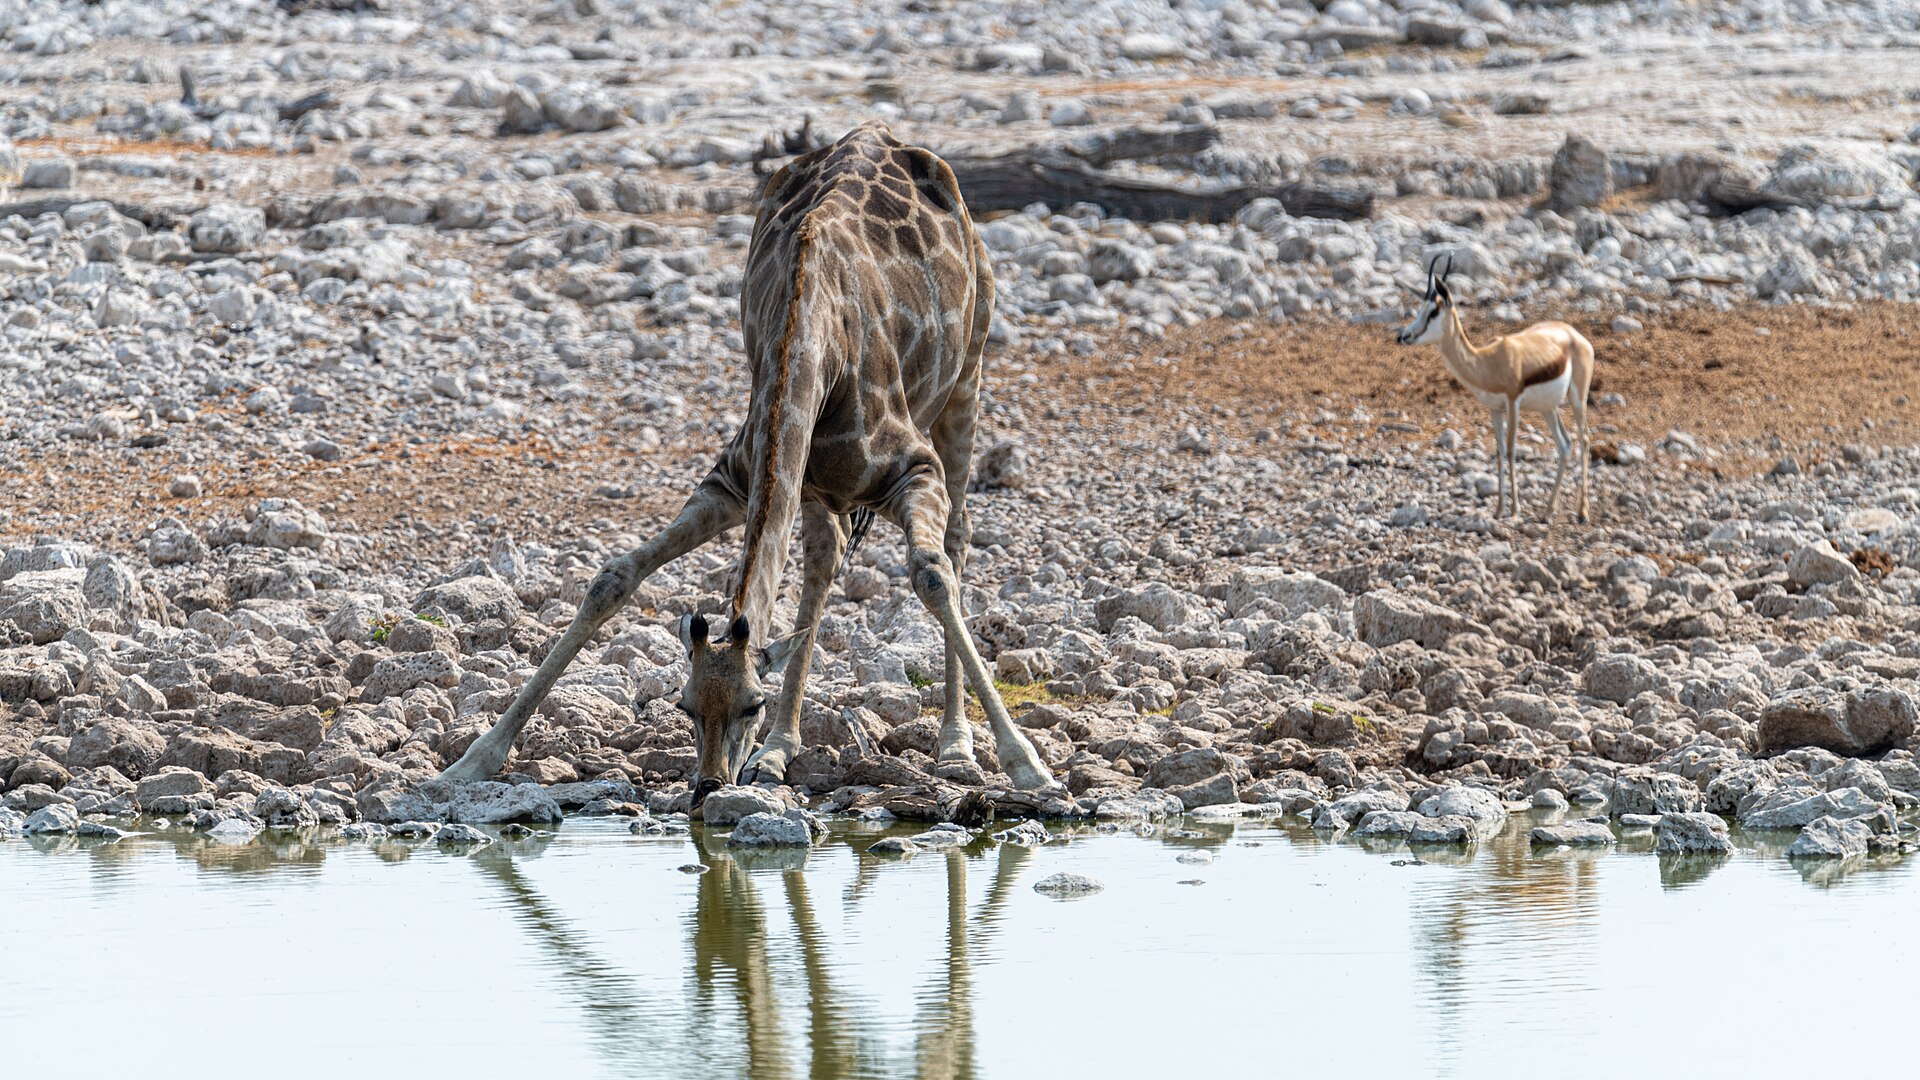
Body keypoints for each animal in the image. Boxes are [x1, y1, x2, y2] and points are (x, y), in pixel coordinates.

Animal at [439, 121, 1059, 805]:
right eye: (683, 706)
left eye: (749, 705)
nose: (710, 786)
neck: (813, 349)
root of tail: (884, 134)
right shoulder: (736, 477)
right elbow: (614, 576)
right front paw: (471, 761)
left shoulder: (913, 469)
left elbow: (931, 576)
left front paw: (1029, 767)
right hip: (814, 489)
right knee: (824, 561)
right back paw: (783, 750)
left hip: (969, 367)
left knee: (956, 539)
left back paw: (954, 745)